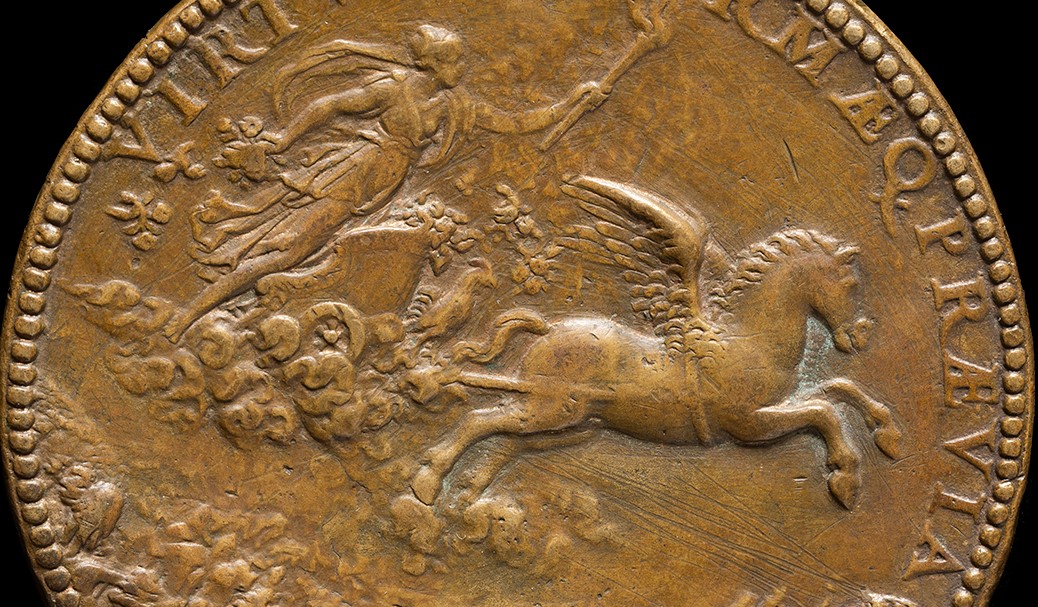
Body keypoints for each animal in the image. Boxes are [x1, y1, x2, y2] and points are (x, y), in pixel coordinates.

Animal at [407, 229, 902, 509]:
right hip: (550, 408)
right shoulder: (750, 424)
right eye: (850, 283)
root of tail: (549, 328)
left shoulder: (779, 403)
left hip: (572, 423)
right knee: (479, 419)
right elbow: (823, 410)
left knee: (506, 440)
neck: (752, 341)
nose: (858, 335)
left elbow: (838, 387)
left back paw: (468, 495)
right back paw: (428, 482)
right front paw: (845, 478)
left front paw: (888, 433)